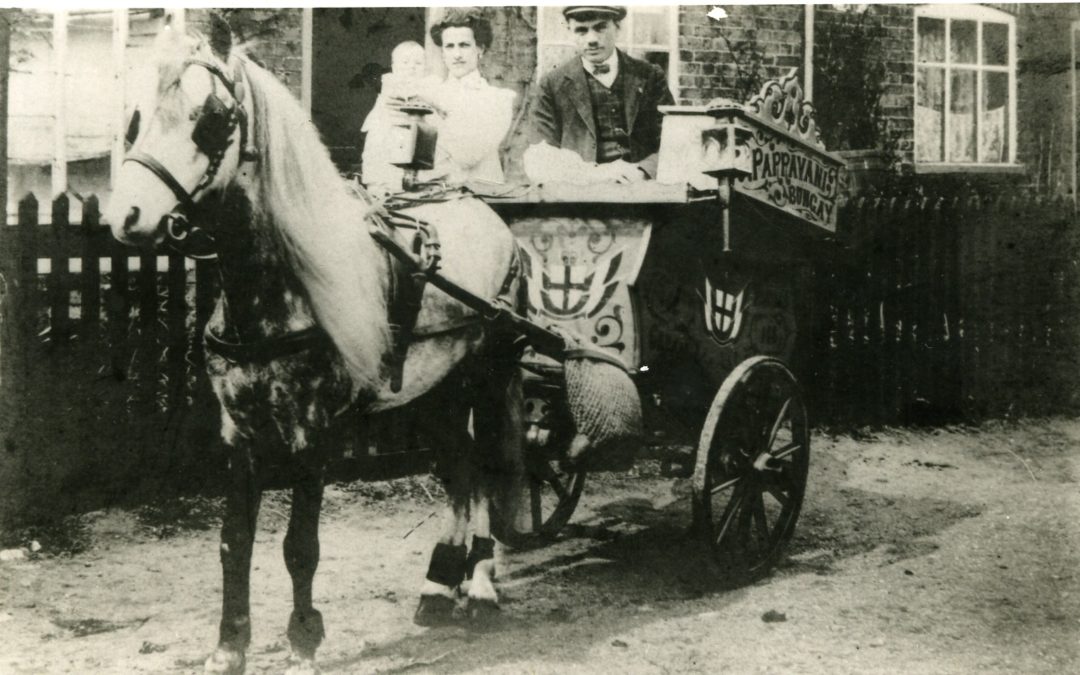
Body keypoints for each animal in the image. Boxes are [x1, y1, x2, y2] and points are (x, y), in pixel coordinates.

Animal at [107, 18, 529, 669]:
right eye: (135, 116)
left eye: (213, 119)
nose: (127, 215)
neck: (280, 287)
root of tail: (488, 217)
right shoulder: (239, 431)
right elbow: (234, 542)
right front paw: (229, 647)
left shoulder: (313, 433)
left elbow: (299, 546)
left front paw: (303, 641)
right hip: (434, 390)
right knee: (458, 465)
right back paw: (439, 586)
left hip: (486, 377)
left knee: (485, 463)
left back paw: (480, 585)